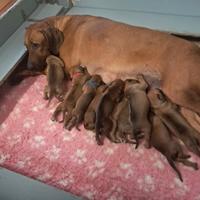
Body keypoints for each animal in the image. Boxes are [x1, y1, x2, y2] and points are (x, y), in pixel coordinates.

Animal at [24, 16, 200, 120]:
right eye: (25, 46)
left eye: (36, 44)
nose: (29, 65)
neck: (62, 25)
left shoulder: (64, 66)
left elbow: (45, 67)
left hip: (179, 92)